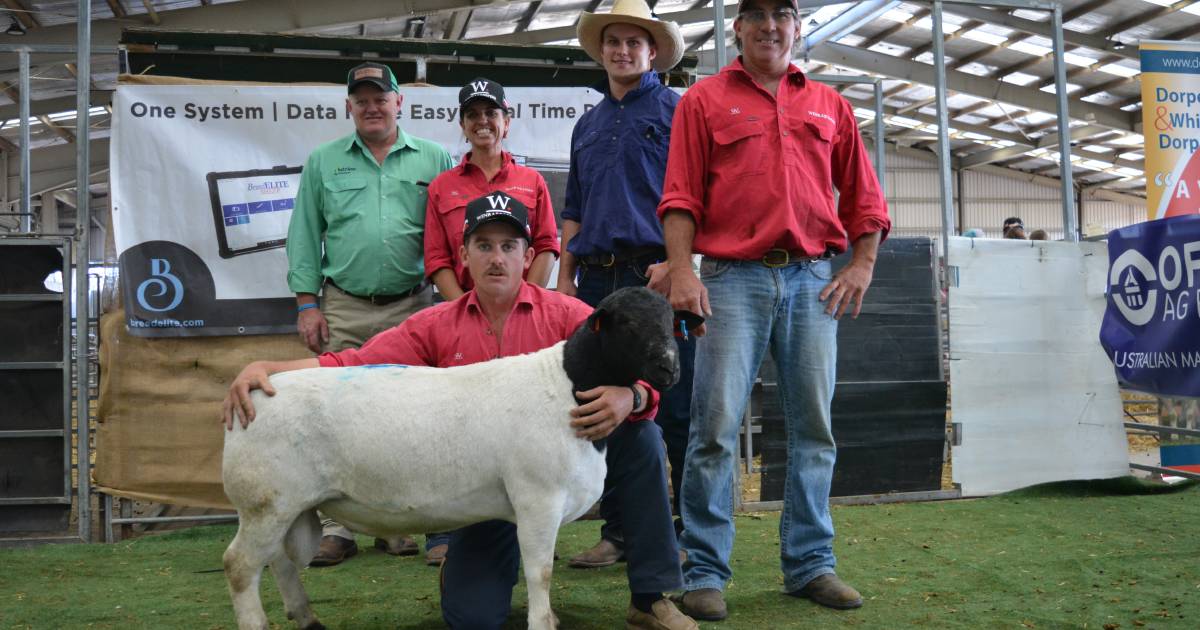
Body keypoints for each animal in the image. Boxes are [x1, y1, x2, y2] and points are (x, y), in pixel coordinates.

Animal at [220, 285, 681, 628]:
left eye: (669, 321)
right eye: (627, 324)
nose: (669, 369)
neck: (566, 384)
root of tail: (256, 394)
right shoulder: (538, 498)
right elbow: (541, 573)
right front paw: (542, 622)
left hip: (287, 505)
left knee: (279, 561)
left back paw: (308, 618)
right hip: (265, 500)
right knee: (240, 565)